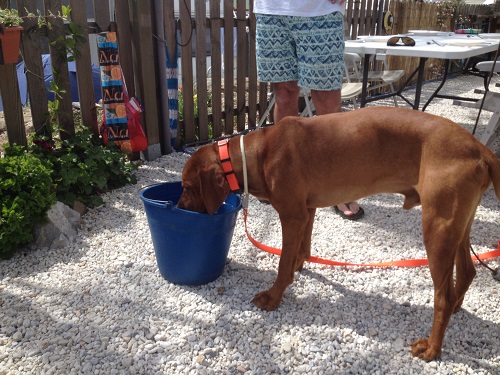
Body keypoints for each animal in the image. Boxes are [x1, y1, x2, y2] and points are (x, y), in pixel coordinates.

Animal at [177, 106, 500, 362]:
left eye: (187, 187)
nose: (177, 207)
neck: (258, 153)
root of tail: (480, 149)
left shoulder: (292, 215)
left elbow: (282, 264)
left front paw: (273, 296)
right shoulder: (306, 210)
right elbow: (301, 249)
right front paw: (299, 266)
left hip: (437, 228)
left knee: (442, 295)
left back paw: (433, 347)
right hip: (458, 225)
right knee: (468, 271)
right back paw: (456, 309)